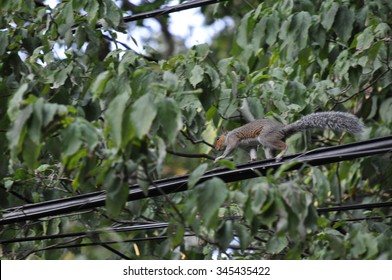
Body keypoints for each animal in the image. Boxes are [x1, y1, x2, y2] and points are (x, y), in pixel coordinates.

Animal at [214, 111, 364, 162]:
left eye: (218, 139)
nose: (216, 148)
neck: (228, 135)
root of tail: (282, 129)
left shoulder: (233, 139)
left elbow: (229, 149)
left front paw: (220, 157)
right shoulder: (249, 145)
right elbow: (252, 152)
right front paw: (253, 159)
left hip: (266, 137)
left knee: (284, 146)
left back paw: (281, 155)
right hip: (267, 143)